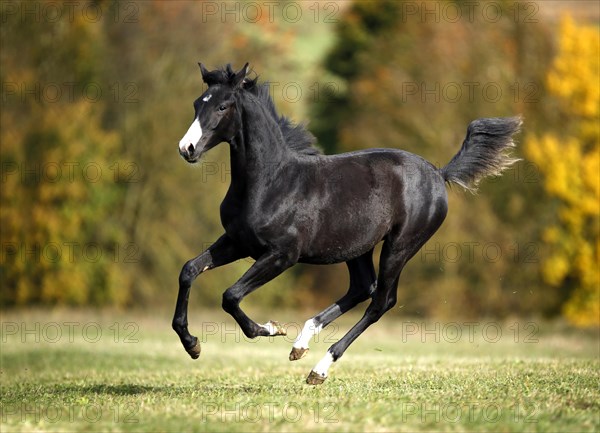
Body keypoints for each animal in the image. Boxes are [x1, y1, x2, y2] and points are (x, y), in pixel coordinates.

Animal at [171, 62, 516, 384]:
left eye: (222, 106)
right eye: (196, 103)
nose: (187, 148)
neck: (272, 182)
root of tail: (438, 173)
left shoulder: (282, 255)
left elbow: (231, 295)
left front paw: (270, 328)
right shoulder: (237, 242)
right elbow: (189, 270)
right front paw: (191, 344)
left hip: (400, 246)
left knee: (381, 301)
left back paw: (319, 368)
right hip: (357, 248)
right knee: (363, 287)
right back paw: (301, 343)